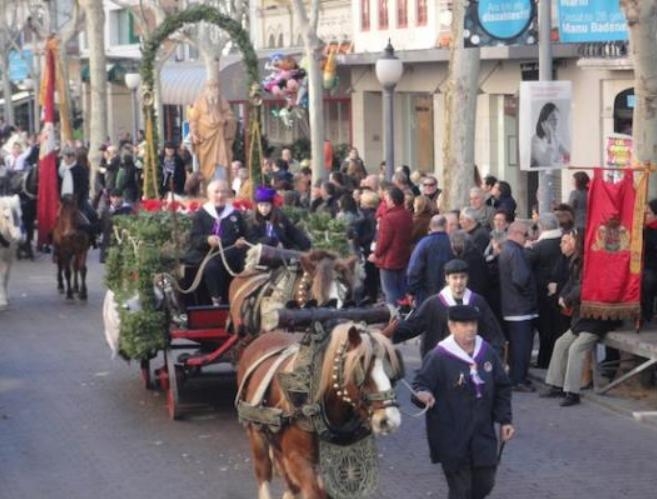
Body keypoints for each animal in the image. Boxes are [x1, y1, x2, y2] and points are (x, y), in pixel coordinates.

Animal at [233, 322, 402, 498]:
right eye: (361, 369)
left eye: (391, 371)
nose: (389, 420)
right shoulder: (299, 459)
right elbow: (314, 491)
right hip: (255, 432)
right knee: (263, 471)